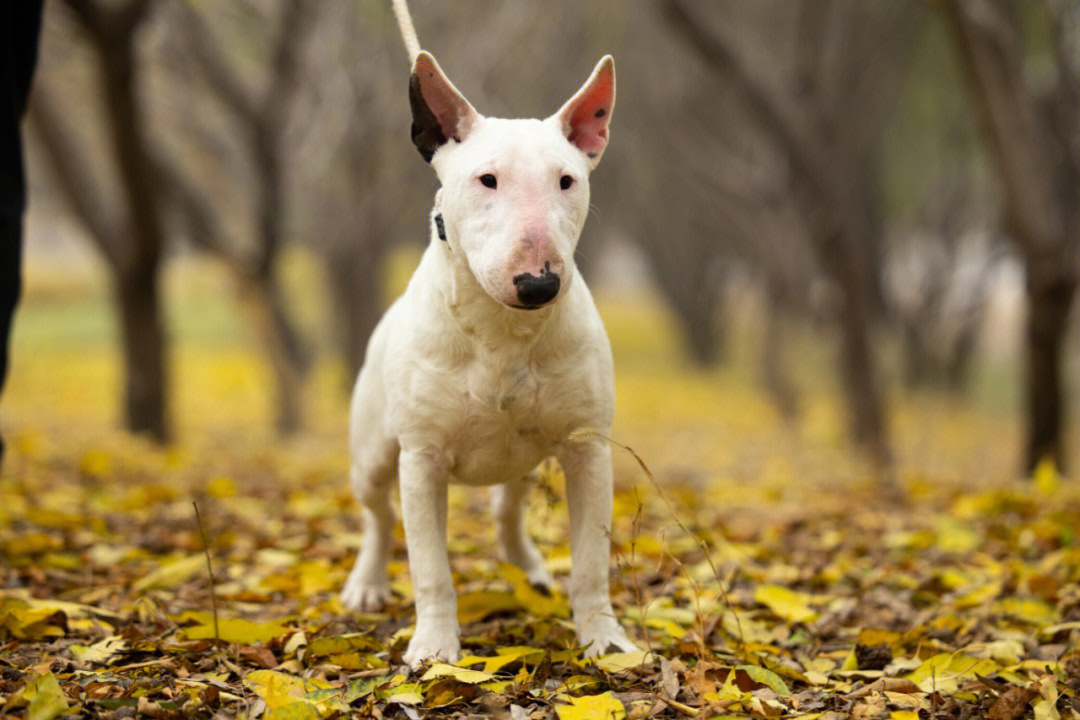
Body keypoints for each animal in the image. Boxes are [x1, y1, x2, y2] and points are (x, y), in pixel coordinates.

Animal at [339, 42, 639, 669]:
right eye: (487, 179)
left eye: (567, 180)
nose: (539, 283)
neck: (504, 331)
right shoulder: (422, 458)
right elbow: (430, 567)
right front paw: (434, 647)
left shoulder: (587, 449)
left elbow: (591, 561)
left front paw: (603, 638)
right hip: (373, 453)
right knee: (378, 516)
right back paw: (368, 584)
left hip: (527, 455)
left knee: (507, 510)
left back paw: (530, 568)